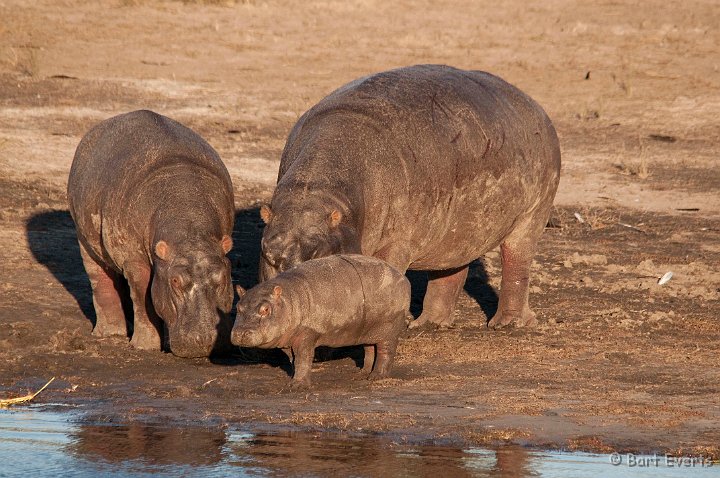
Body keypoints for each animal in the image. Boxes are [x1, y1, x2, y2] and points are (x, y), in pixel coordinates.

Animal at [67, 110, 233, 356]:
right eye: (175, 281)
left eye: (223, 277)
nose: (205, 340)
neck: (191, 233)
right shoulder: (134, 258)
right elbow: (141, 294)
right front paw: (145, 345)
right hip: (84, 238)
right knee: (100, 279)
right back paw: (111, 333)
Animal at [231, 254, 410, 388]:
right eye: (238, 306)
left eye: (265, 309)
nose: (240, 333)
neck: (289, 299)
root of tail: (402, 277)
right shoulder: (289, 337)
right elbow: (294, 359)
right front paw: (293, 378)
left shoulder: (307, 334)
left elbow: (303, 358)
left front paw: (297, 386)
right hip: (368, 329)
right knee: (370, 349)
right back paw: (361, 374)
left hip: (389, 327)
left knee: (385, 351)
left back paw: (377, 376)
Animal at [258, 65, 564, 330]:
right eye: (269, 256)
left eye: (318, 256)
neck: (316, 191)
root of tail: (534, 105)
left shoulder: (396, 242)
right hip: (458, 231)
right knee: (450, 271)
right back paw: (428, 324)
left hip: (532, 215)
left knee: (517, 261)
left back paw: (508, 324)